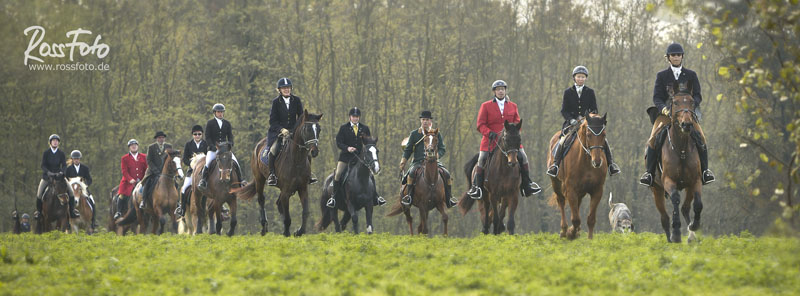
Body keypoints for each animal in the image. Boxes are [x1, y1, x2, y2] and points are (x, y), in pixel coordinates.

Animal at [648, 89, 704, 243]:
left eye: (692, 102)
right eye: (675, 102)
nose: (687, 124)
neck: (681, 149)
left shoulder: (695, 180)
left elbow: (698, 203)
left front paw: (694, 226)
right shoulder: (668, 180)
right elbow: (675, 199)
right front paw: (677, 233)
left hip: (688, 187)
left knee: (685, 208)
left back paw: (692, 236)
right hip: (656, 190)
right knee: (665, 218)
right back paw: (670, 239)